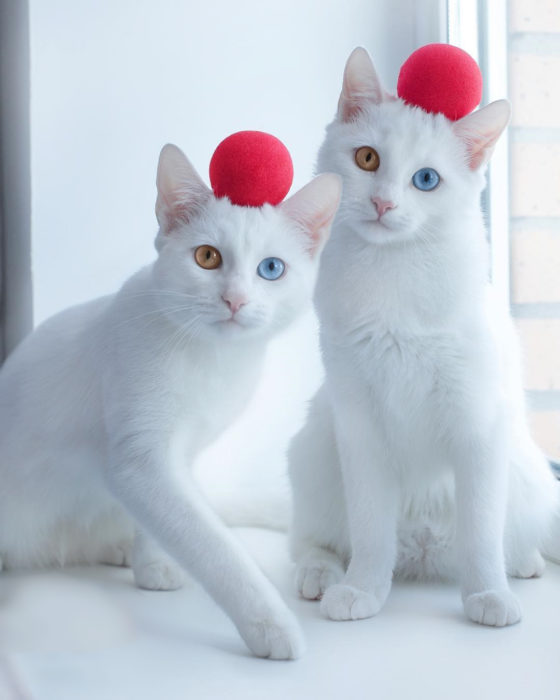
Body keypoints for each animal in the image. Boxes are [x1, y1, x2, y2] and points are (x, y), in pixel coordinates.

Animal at [0, 144, 342, 660]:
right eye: (207, 257)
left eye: (271, 268)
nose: (235, 300)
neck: (211, 360)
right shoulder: (140, 464)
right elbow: (210, 545)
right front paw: (271, 624)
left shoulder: (177, 458)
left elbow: (168, 520)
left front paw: (151, 563)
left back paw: (117, 547)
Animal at [288, 49, 560, 628]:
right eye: (367, 158)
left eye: (426, 179)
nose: (384, 204)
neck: (392, 275)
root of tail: (423, 550)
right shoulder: (360, 428)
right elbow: (370, 531)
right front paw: (363, 589)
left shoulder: (479, 424)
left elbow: (481, 530)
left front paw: (488, 595)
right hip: (314, 449)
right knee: (310, 542)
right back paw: (322, 576)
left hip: (527, 473)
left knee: (498, 536)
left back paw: (520, 565)